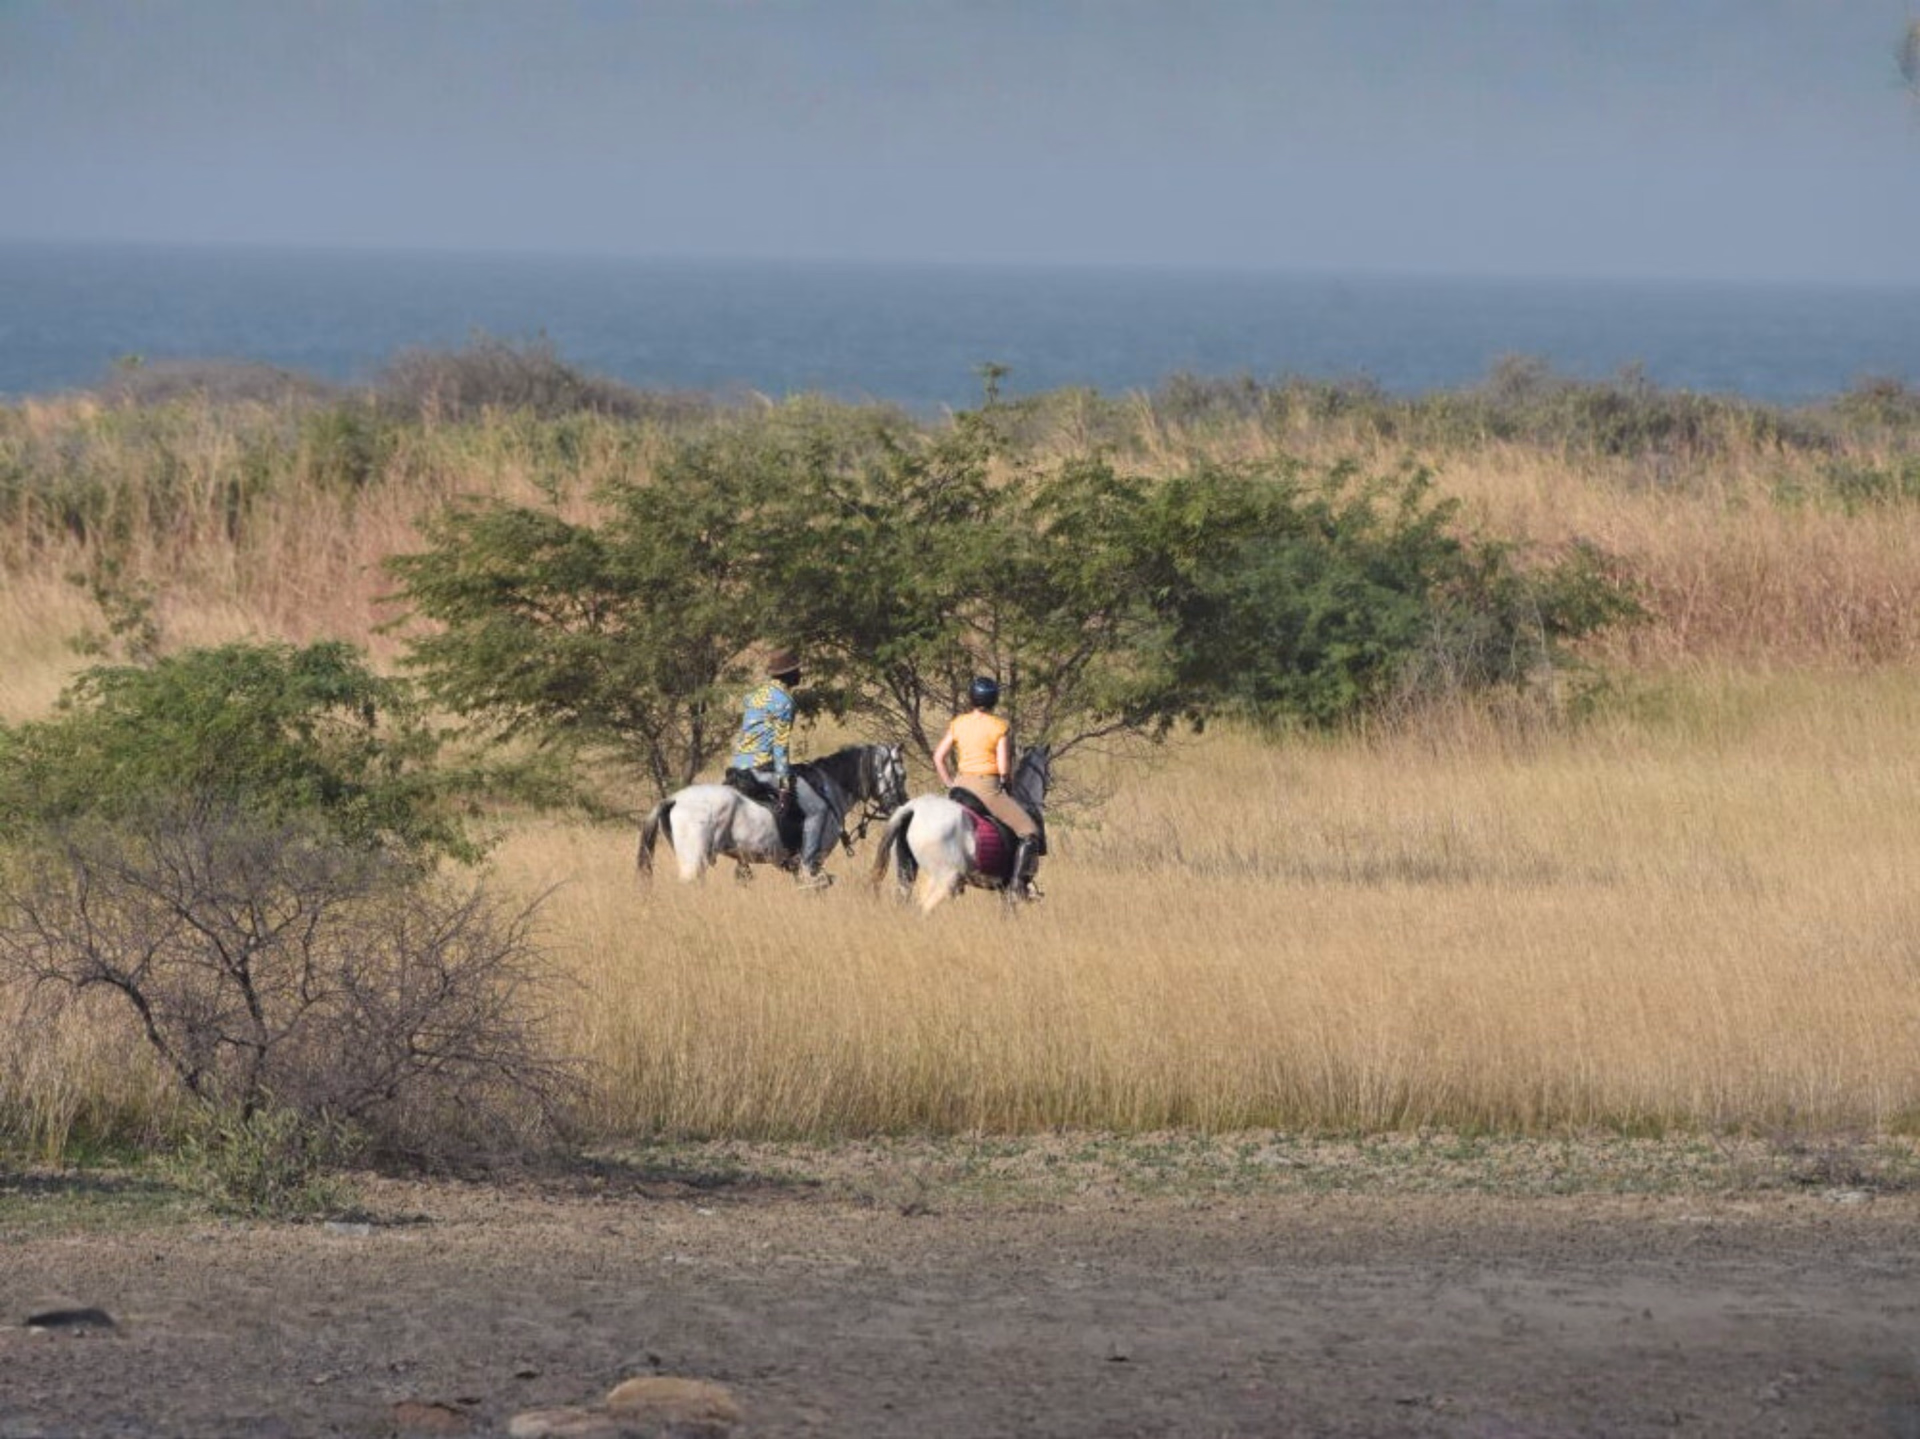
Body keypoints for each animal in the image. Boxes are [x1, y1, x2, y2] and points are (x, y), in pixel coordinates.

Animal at [636, 743, 907, 888]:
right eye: (901, 775)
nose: (901, 805)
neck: (829, 786)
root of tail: (673, 799)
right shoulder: (813, 861)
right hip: (693, 863)